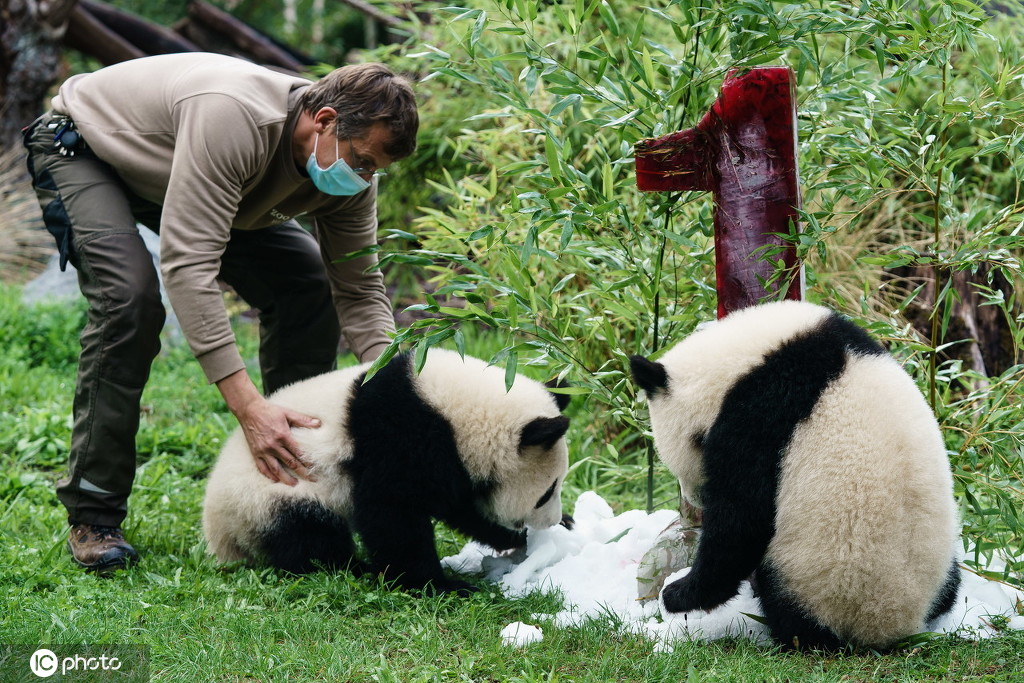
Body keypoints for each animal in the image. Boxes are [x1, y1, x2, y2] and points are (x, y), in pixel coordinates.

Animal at [199, 350, 569, 593]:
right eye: (547, 492)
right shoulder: (399, 433)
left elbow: (459, 507)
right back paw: (353, 567)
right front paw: (437, 585)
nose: (550, 522)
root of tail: (217, 532)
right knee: (307, 533)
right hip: (269, 492)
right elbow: (391, 511)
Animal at [626, 301, 962, 651]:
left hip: (814, 576)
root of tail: (895, 624)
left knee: (790, 605)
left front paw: (679, 594)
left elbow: (740, 523)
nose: (695, 500)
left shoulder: (758, 416)